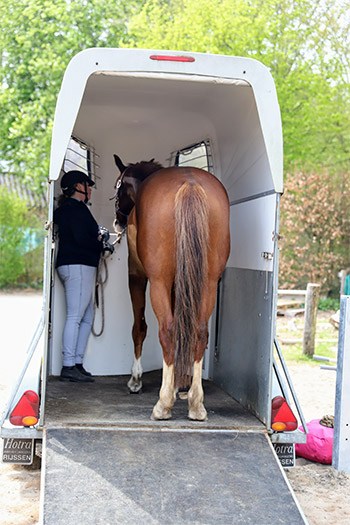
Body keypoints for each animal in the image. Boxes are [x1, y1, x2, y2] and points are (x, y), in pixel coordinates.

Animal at [113, 154, 231, 420]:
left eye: (118, 187)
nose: (117, 221)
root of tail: (190, 184)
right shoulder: (181, 284)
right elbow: (184, 328)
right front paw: (182, 383)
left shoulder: (136, 275)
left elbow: (139, 327)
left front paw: (136, 380)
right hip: (207, 283)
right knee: (198, 331)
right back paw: (196, 403)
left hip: (158, 282)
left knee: (166, 329)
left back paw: (163, 403)